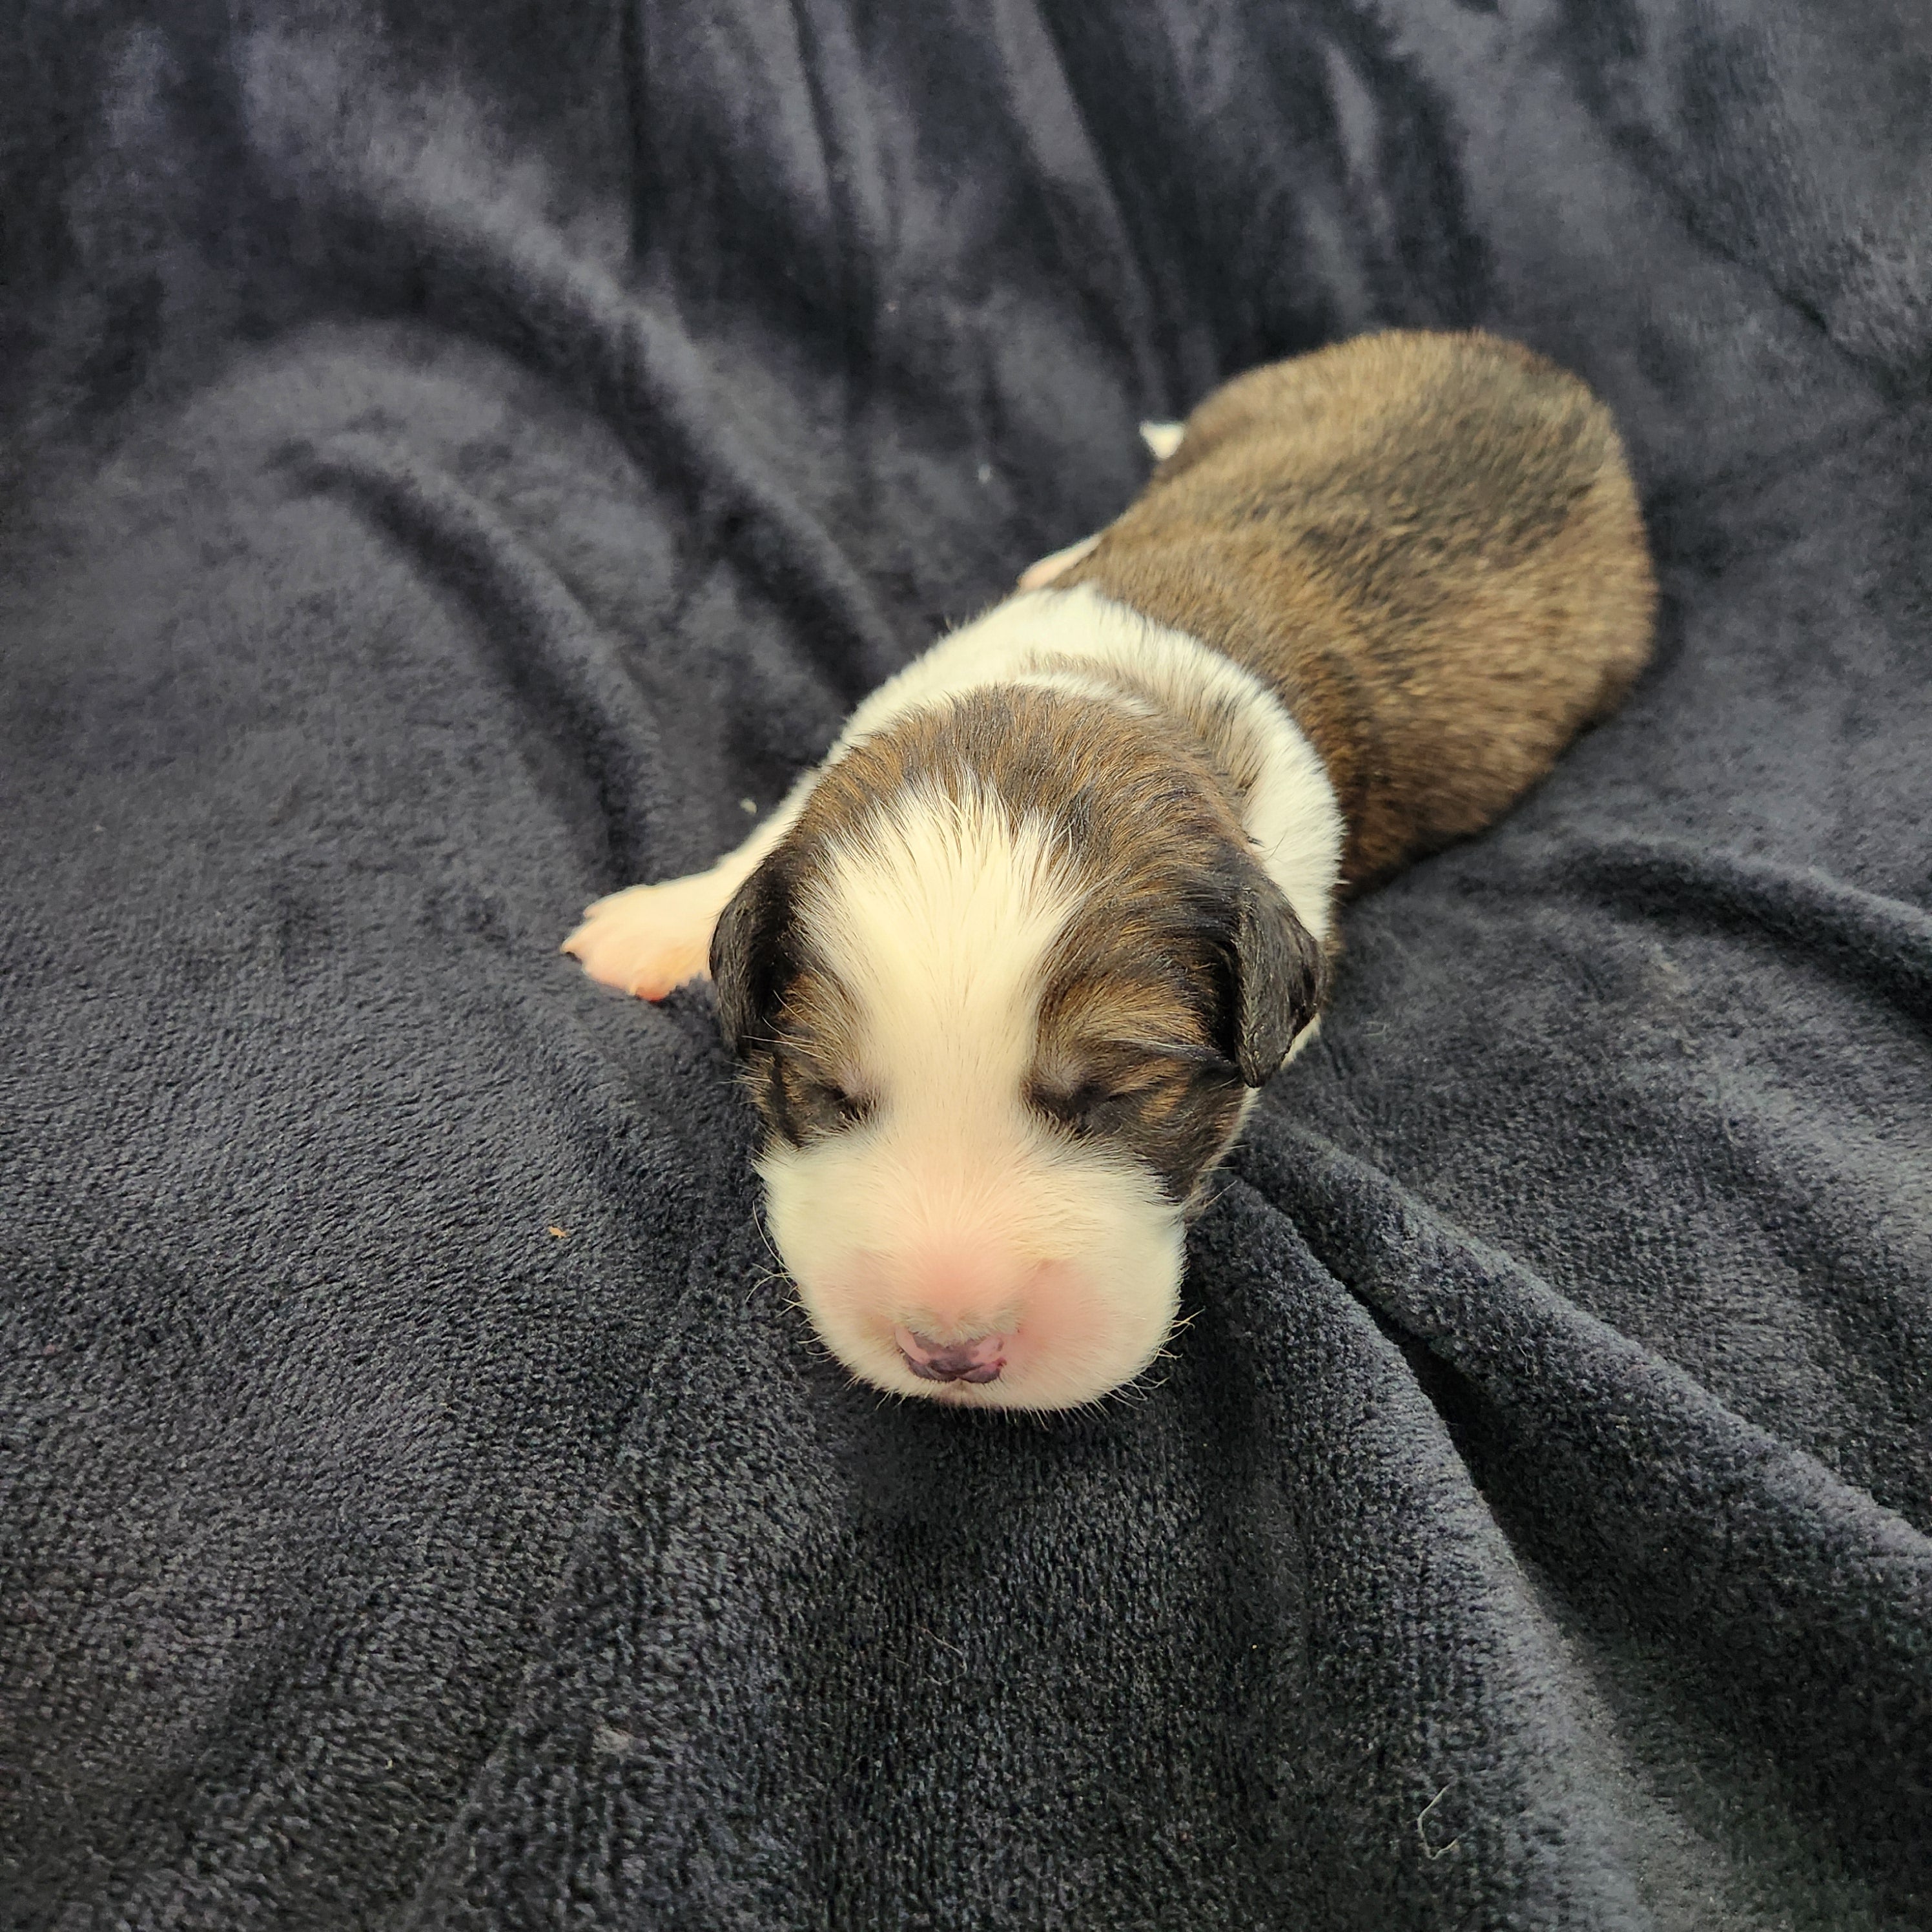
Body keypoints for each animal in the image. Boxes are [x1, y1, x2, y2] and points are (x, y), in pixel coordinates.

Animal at [564, 332, 1661, 1414]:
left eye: (1117, 1097)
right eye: (825, 1091)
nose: (950, 1354)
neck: (1097, 692)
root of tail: (1516, 354)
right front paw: (655, 924)